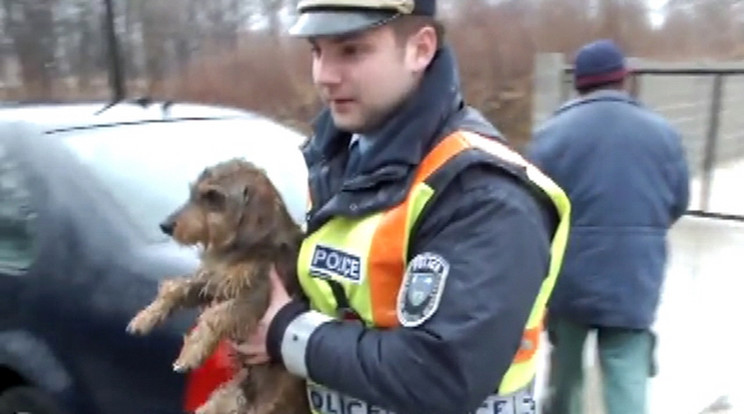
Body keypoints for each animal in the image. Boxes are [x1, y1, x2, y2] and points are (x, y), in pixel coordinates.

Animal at [128, 158, 310, 414]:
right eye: (193, 192)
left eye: (212, 196)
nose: (165, 225)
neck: (242, 249)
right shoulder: (212, 282)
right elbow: (175, 290)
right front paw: (144, 317)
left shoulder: (256, 297)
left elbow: (216, 315)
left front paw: (191, 352)